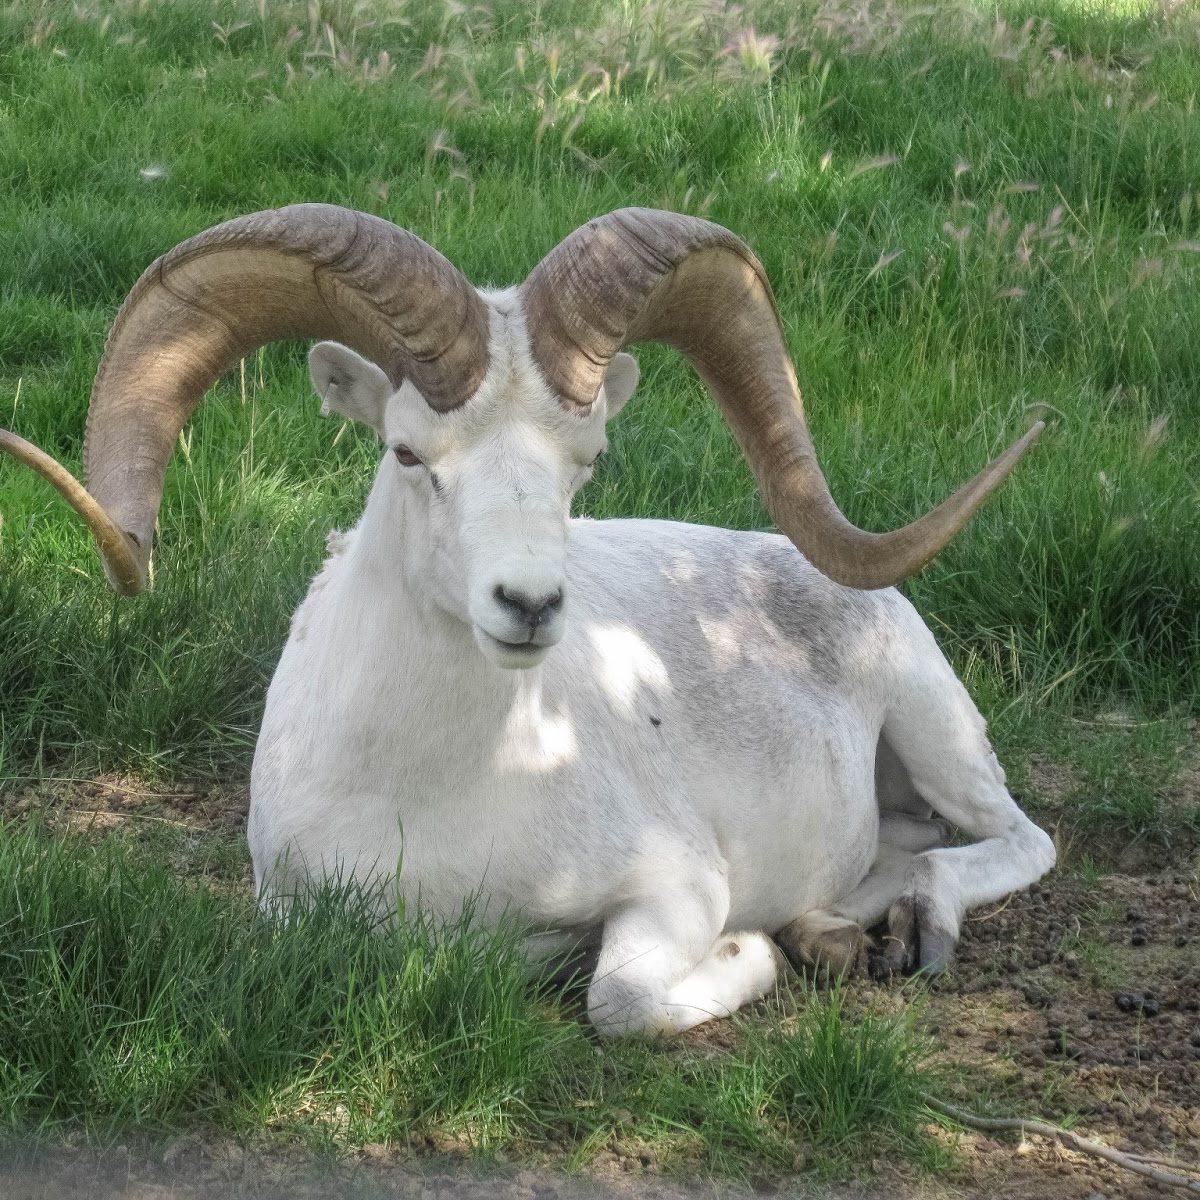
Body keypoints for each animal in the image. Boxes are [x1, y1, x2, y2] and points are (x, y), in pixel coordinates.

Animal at [0, 204, 1055, 1036]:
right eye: (408, 451)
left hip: (934, 731)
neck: (436, 796)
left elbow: (619, 1001)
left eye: (587, 458)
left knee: (1020, 840)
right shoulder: (296, 914)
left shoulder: (676, 887)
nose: (530, 604)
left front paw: (752, 950)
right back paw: (832, 930)